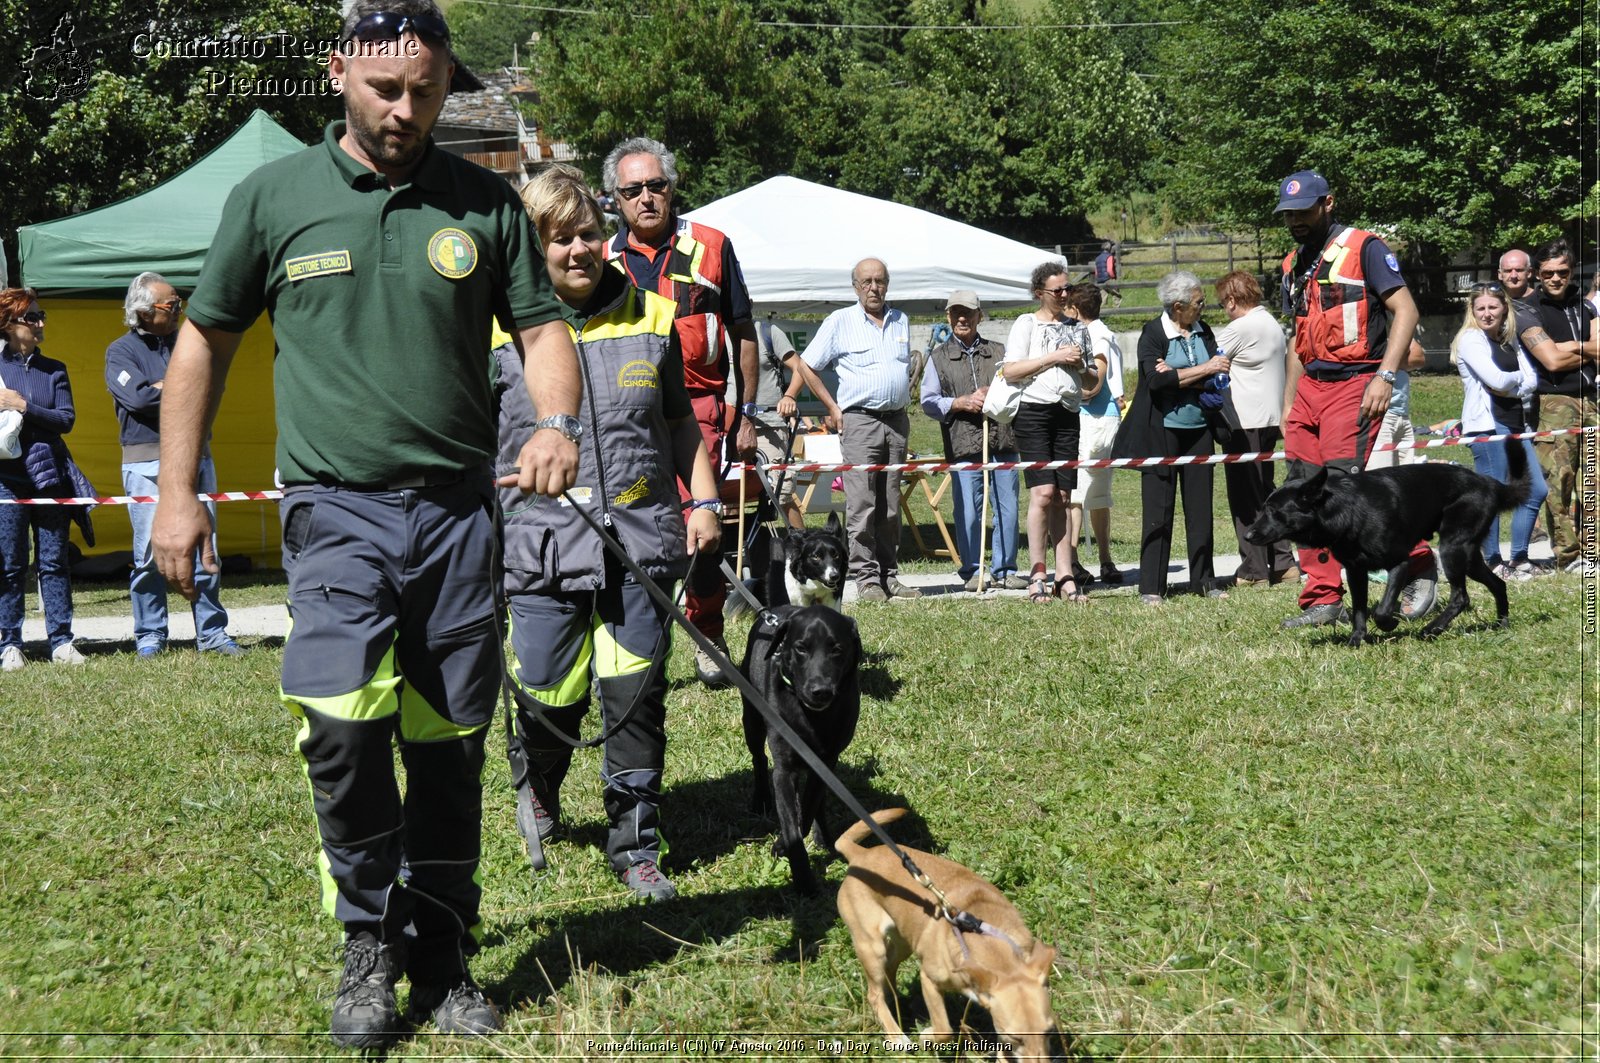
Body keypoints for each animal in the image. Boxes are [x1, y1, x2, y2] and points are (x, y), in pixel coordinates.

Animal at [739, 601, 864, 890]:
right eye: (801, 648)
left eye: (837, 649)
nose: (820, 691)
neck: (812, 717)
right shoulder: (784, 769)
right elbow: (791, 823)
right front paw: (804, 881)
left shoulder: (826, 761)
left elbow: (805, 812)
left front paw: (785, 844)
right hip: (751, 718)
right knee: (759, 758)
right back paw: (760, 798)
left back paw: (824, 836)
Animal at [838, 810, 1062, 1056]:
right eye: (1016, 1037)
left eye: (1049, 1032)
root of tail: (860, 855)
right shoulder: (929, 980)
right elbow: (945, 1029)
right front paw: (928, 1035)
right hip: (871, 946)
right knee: (874, 994)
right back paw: (896, 1036)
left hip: (904, 941)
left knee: (890, 970)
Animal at [1241, 435, 1529, 643]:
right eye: (1265, 509)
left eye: (1274, 511)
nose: (1248, 534)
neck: (1346, 512)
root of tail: (1492, 485)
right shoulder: (1356, 572)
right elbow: (1358, 609)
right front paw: (1356, 640)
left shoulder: (1400, 563)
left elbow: (1381, 609)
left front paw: (1389, 624)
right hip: (1468, 556)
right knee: (1498, 584)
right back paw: (1501, 624)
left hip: (1452, 549)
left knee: (1461, 597)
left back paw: (1432, 629)